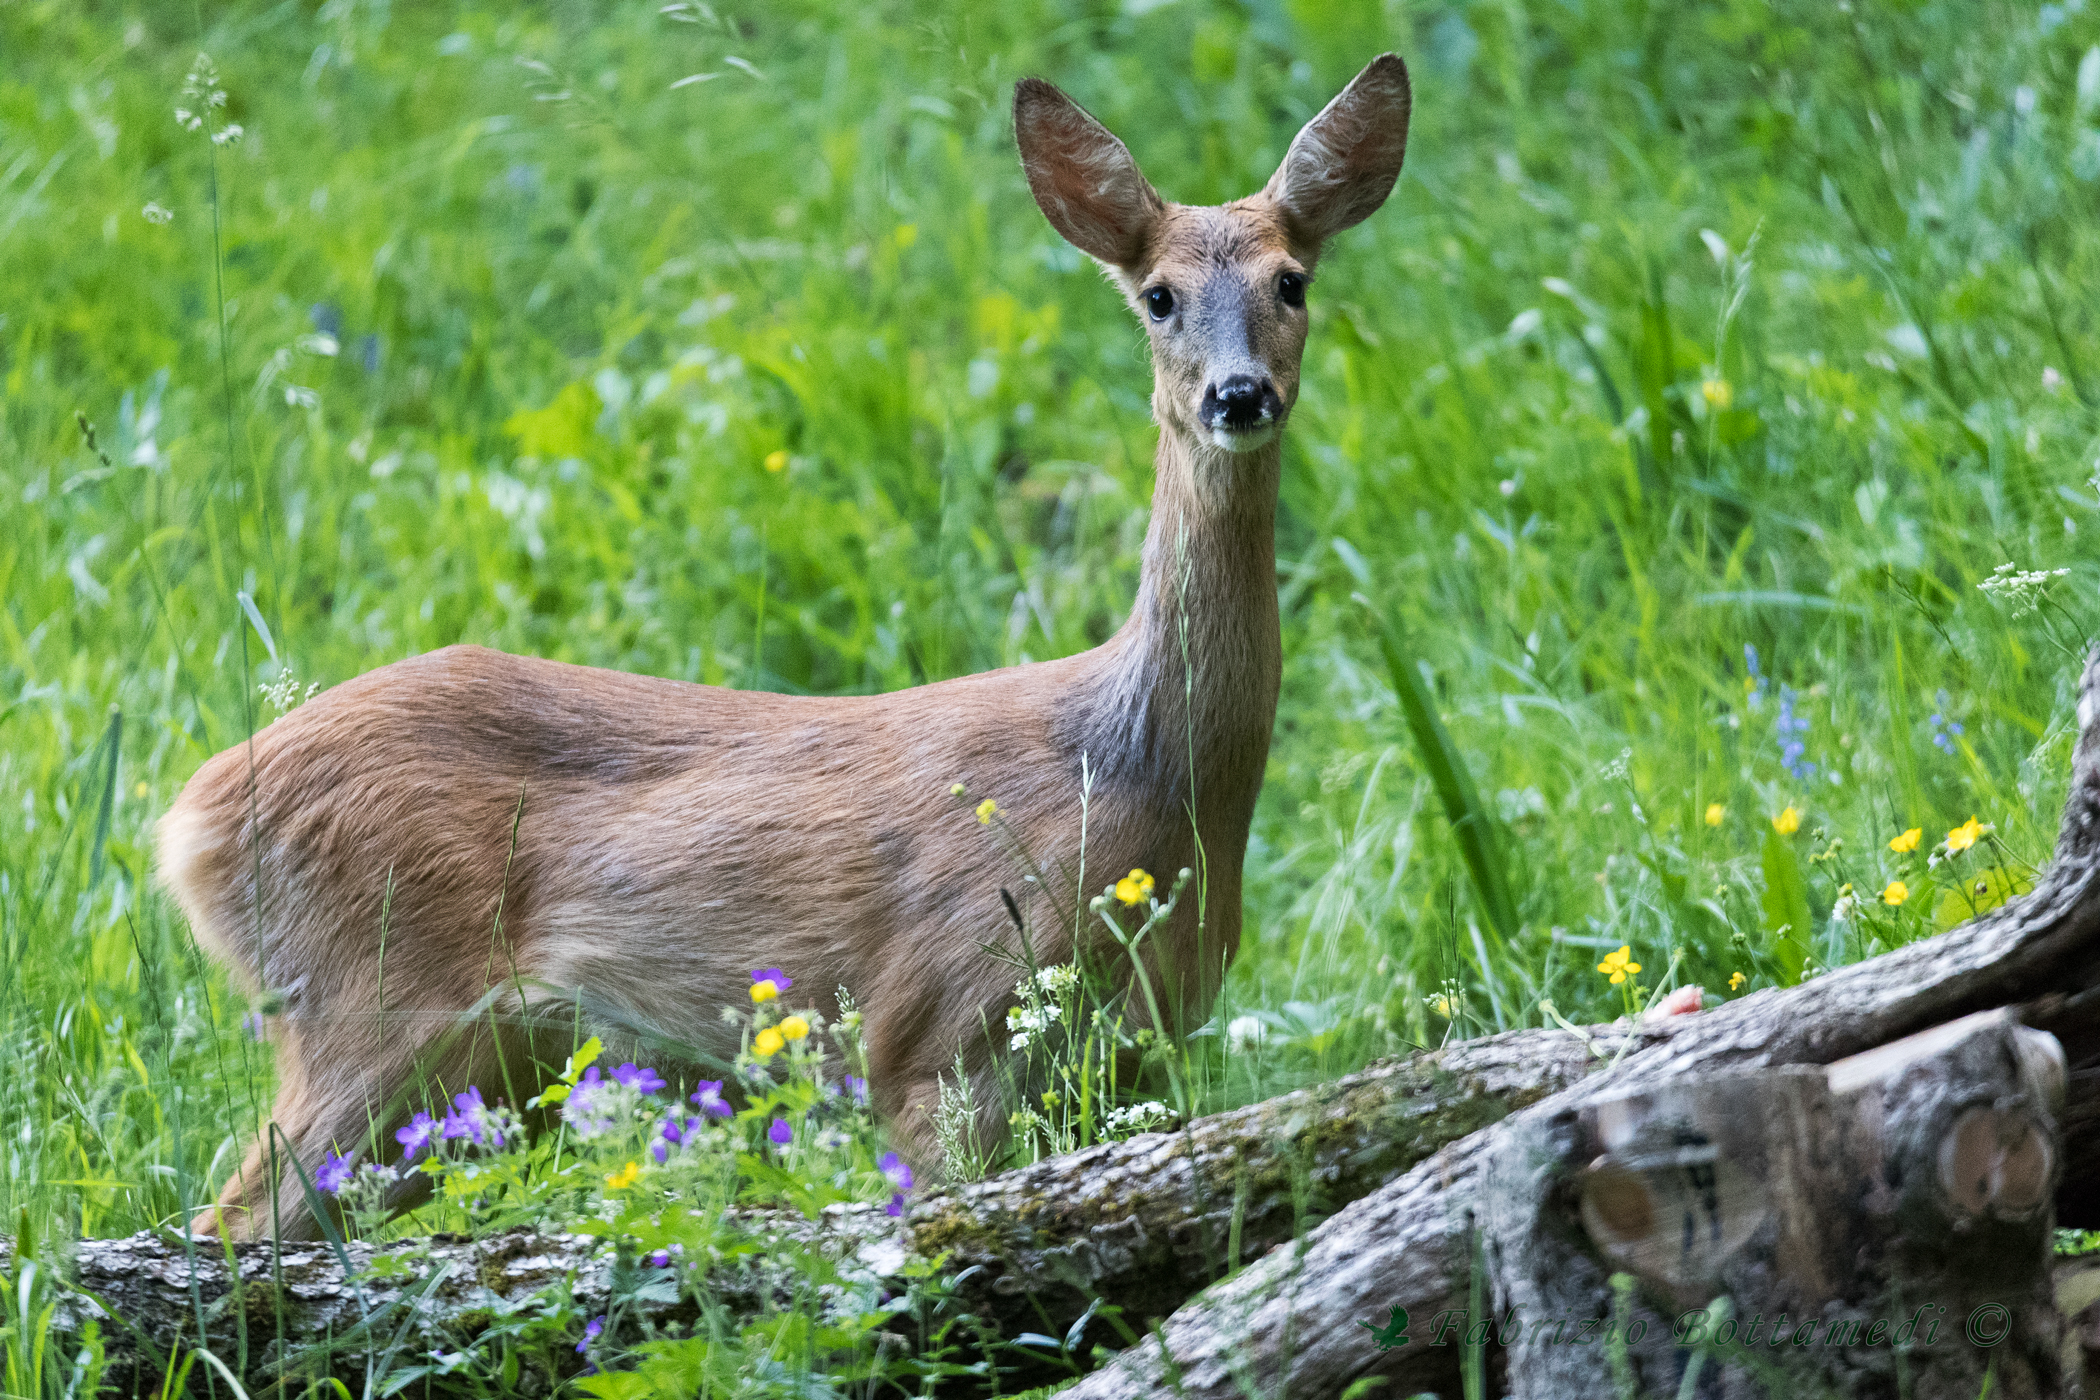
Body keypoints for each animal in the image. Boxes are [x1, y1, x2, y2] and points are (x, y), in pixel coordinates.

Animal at [159, 54, 1411, 1234]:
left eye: (1291, 281)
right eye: (1158, 296)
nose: (1239, 394)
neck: (1142, 773)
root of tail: (188, 822)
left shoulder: (1138, 1046)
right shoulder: (942, 1023)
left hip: (467, 1071)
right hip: (371, 1003)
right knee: (229, 1224)